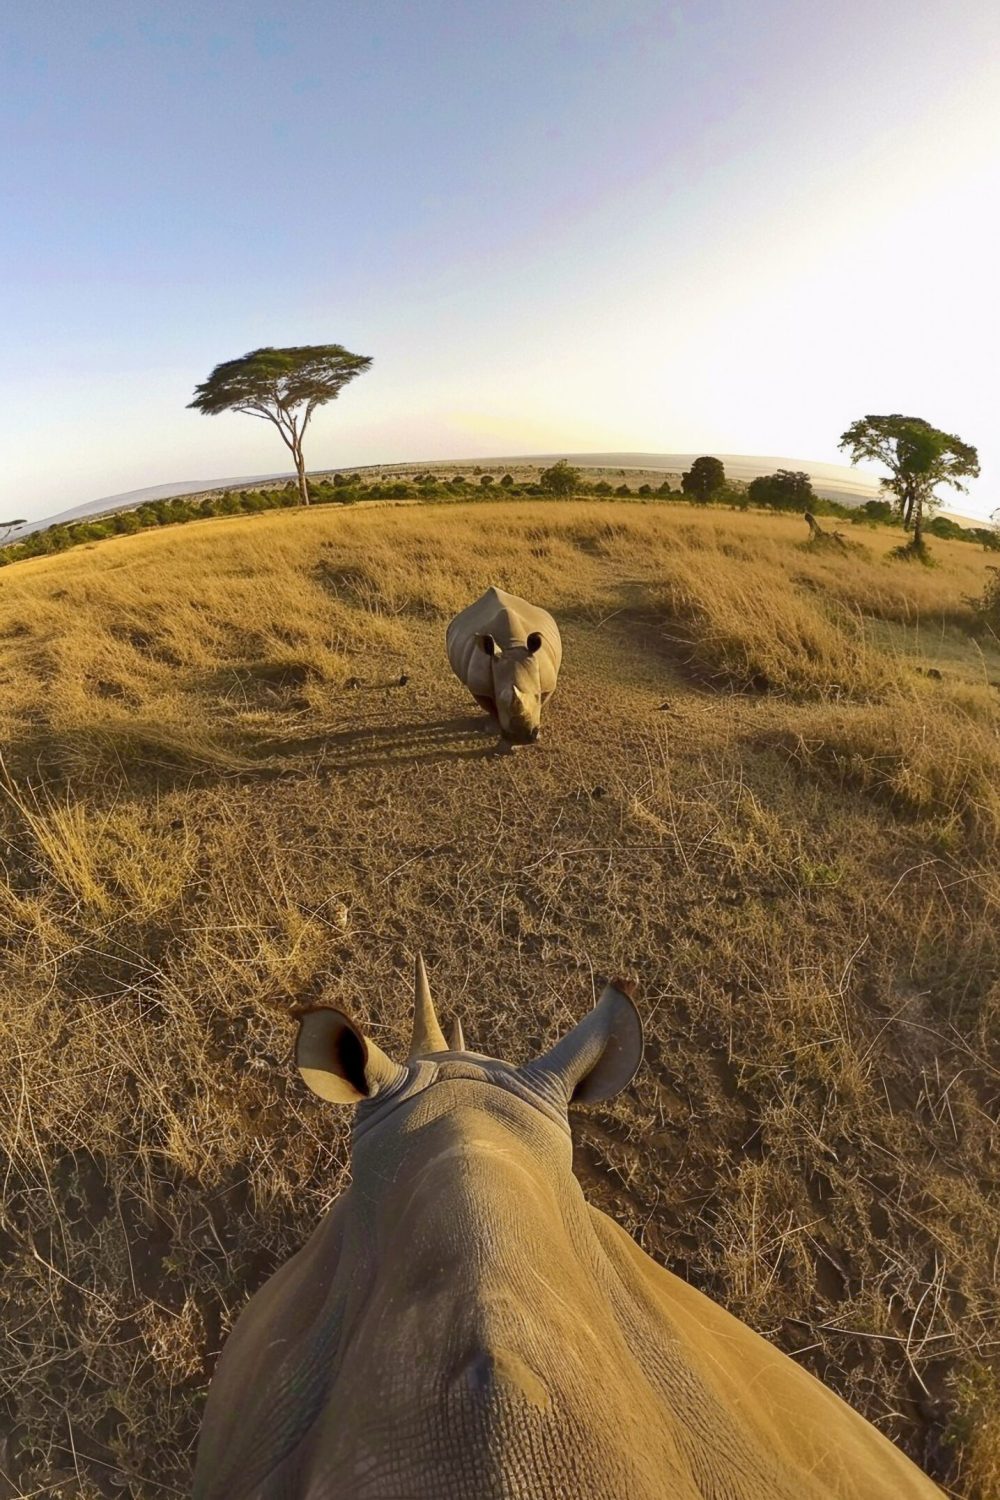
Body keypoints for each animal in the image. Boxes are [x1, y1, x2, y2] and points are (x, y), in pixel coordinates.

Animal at [446, 586, 562, 743]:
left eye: (538, 695)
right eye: (500, 699)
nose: (521, 738)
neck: (512, 645)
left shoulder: (548, 683)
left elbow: (542, 702)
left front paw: (538, 734)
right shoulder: (478, 687)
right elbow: (490, 706)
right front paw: (493, 729)